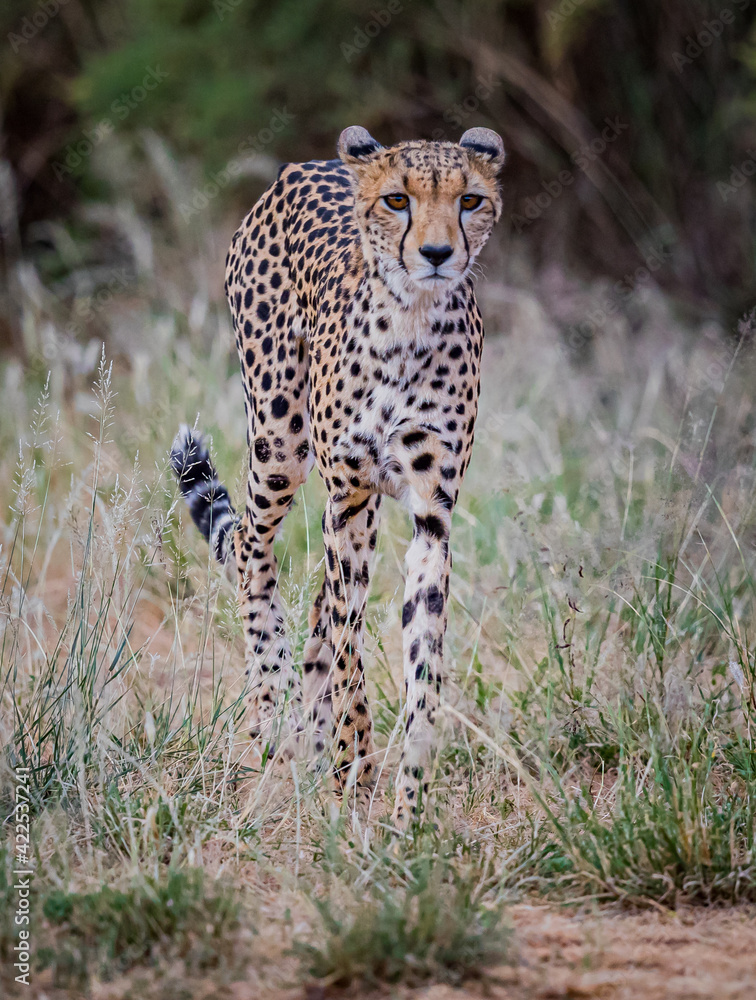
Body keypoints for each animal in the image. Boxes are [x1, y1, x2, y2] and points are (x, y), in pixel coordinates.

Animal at [170, 125, 505, 829]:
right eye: (398, 200)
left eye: (470, 200)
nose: (437, 253)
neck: (410, 319)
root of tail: (307, 163)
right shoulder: (345, 499)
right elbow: (353, 650)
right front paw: (356, 766)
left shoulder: (430, 516)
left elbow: (422, 666)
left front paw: (409, 804)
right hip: (281, 440)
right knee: (253, 547)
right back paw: (272, 710)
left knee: (320, 608)